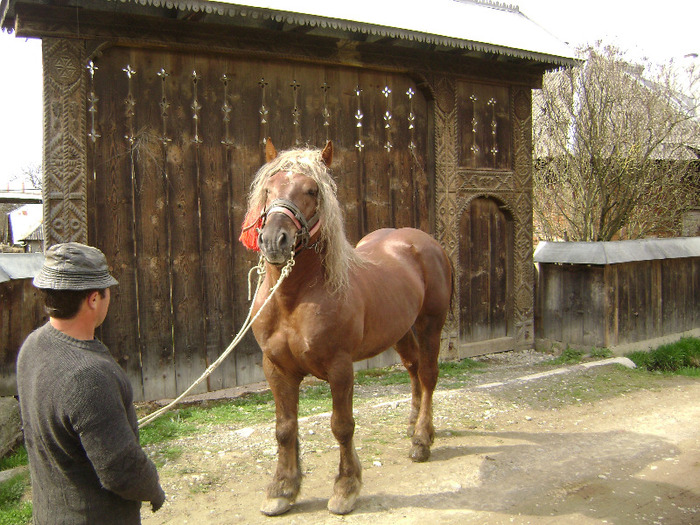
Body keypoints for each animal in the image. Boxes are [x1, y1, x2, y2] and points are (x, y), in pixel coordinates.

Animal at [241, 139, 454, 516]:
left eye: (312, 190)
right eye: (268, 188)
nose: (274, 241)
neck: (295, 299)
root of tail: (423, 242)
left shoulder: (340, 368)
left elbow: (341, 426)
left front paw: (346, 487)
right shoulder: (276, 368)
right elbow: (284, 428)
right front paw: (283, 489)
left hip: (431, 324)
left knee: (428, 376)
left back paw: (421, 439)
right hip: (400, 331)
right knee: (413, 368)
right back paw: (412, 424)